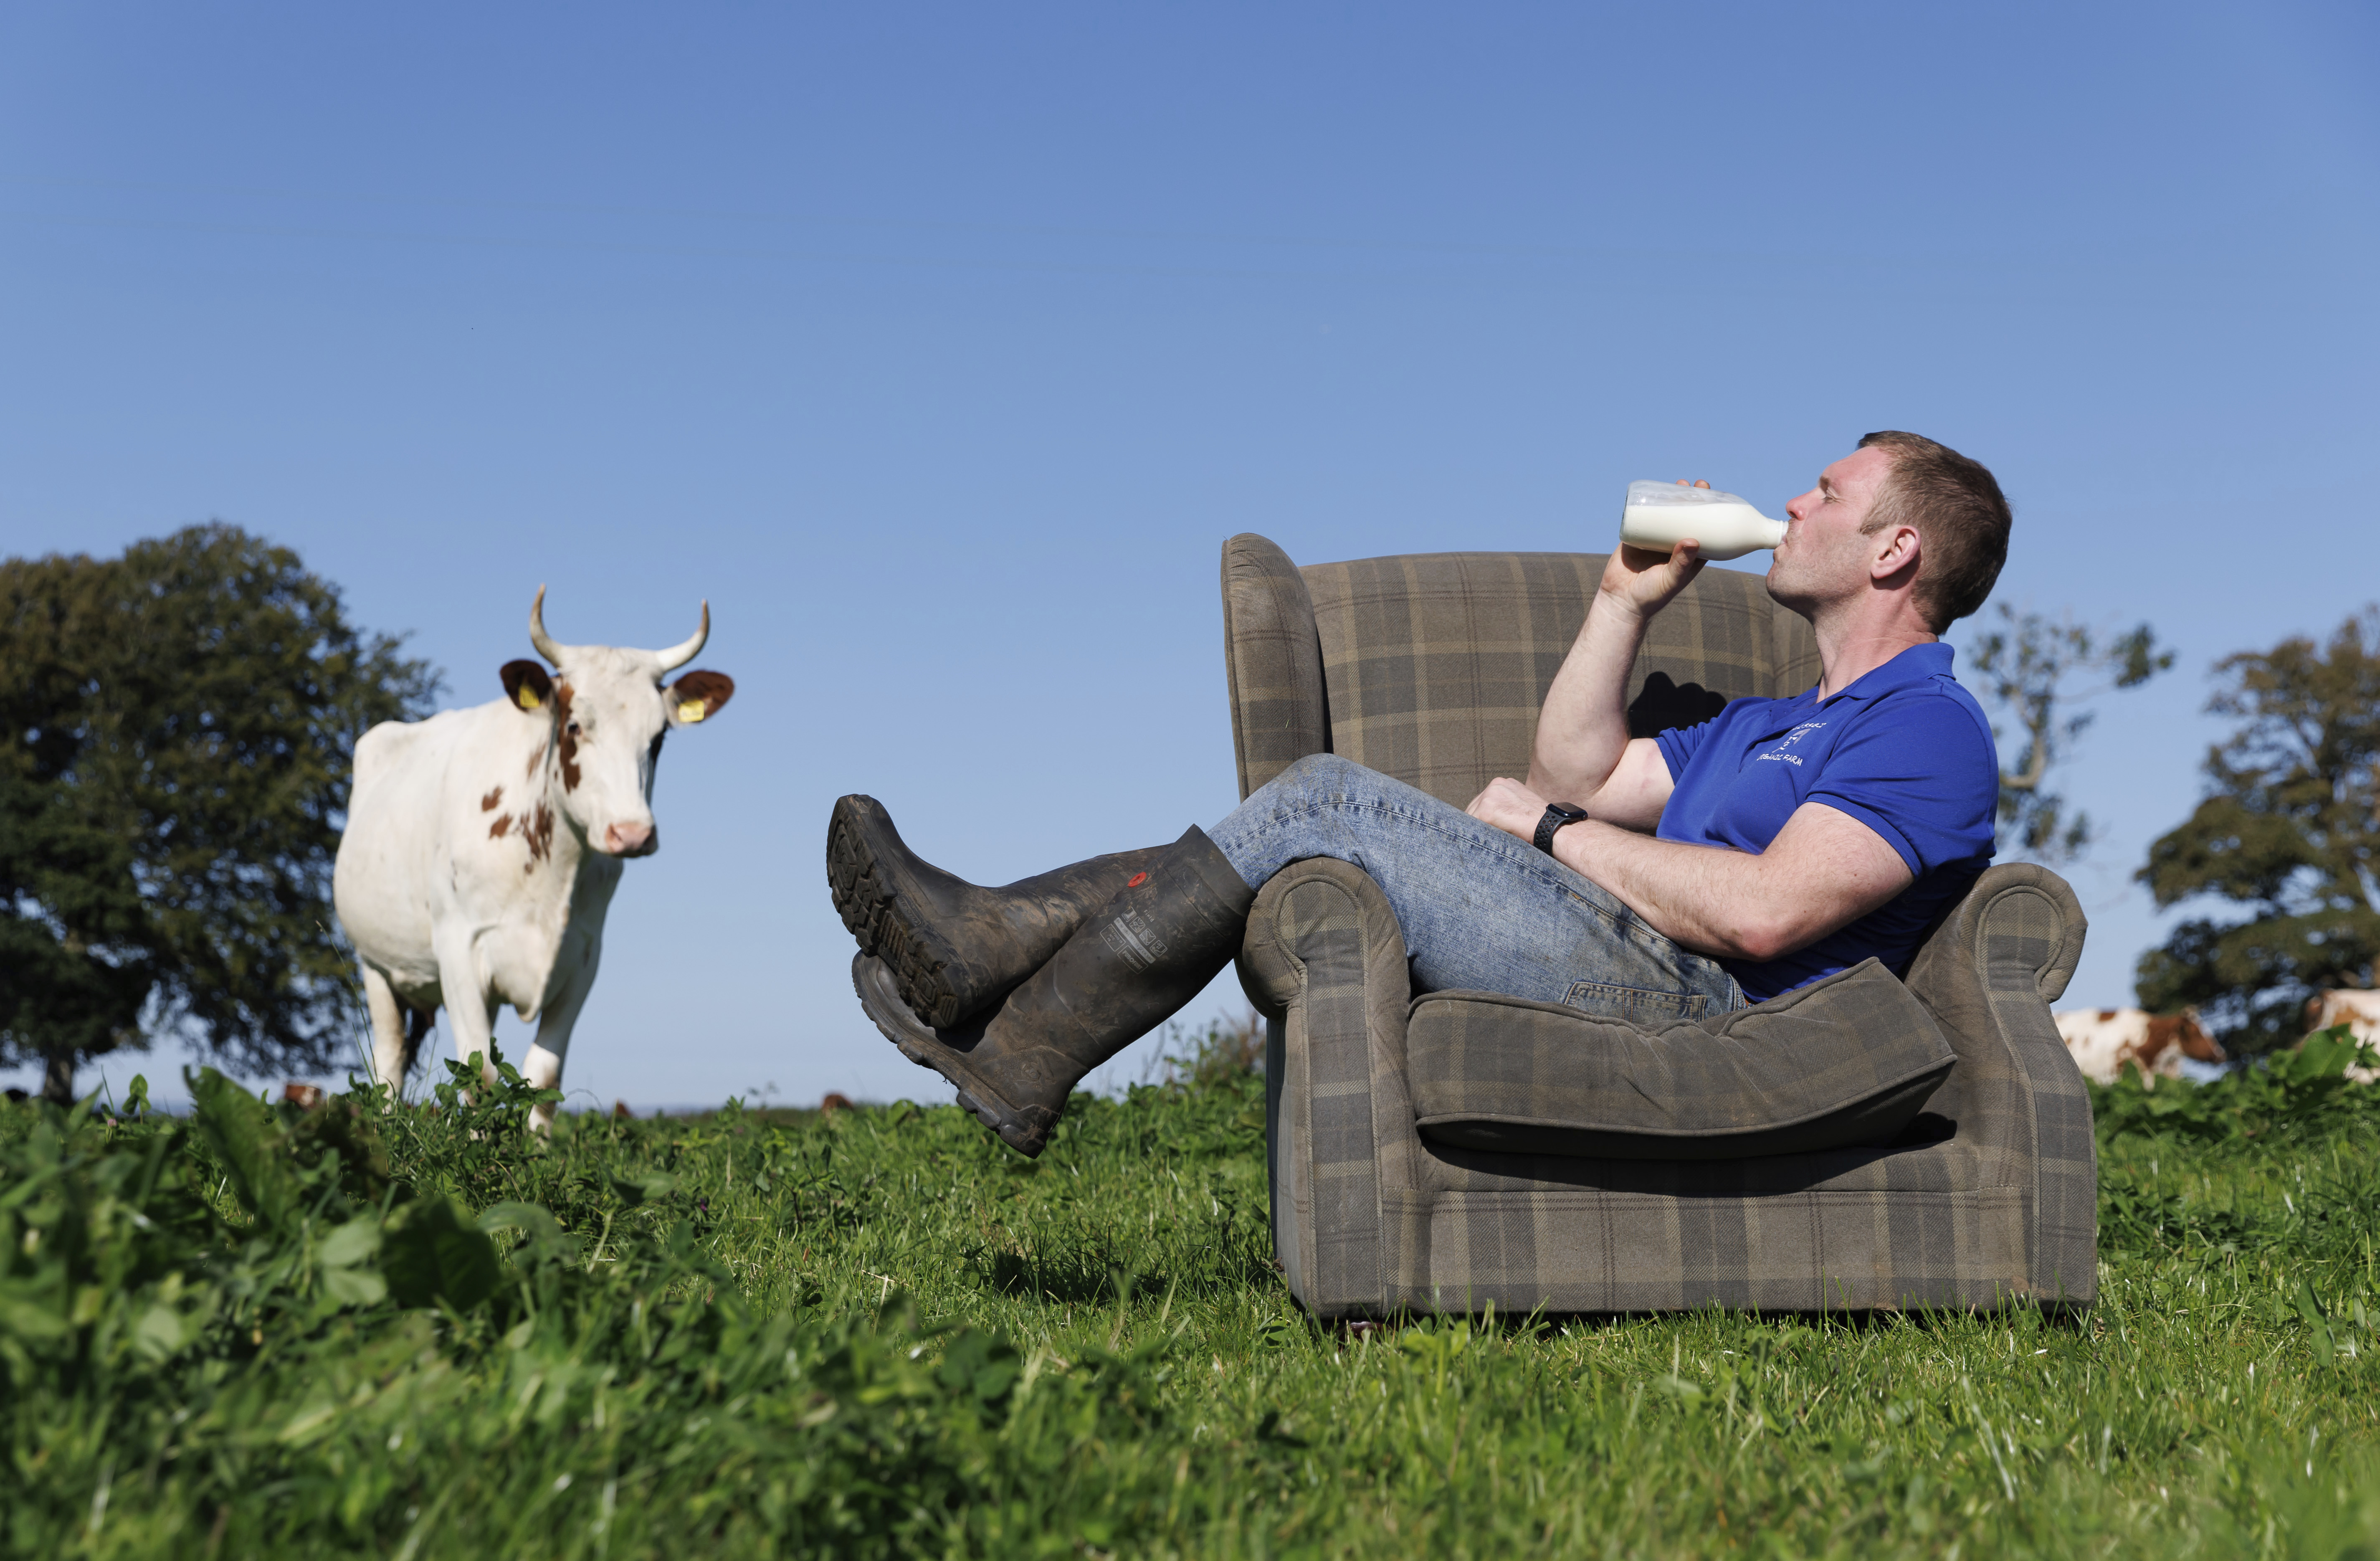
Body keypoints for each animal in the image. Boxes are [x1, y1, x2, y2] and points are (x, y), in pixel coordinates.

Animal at [331, 592, 728, 1128]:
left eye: (660, 737)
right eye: (575, 725)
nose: (632, 833)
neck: (550, 874)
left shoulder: (583, 960)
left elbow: (543, 1078)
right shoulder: (458, 947)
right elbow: (478, 1076)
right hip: (375, 964)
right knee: (389, 1060)